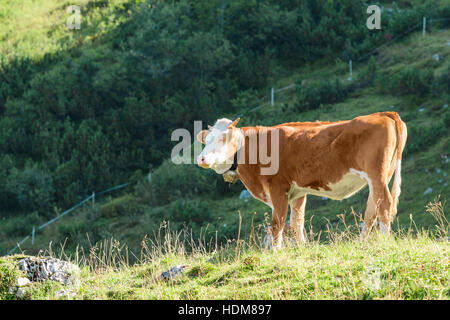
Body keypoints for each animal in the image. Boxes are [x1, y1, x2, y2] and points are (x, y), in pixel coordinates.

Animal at [197, 112, 408, 250]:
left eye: (223, 138)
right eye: (205, 141)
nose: (201, 158)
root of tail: (382, 114)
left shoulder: (277, 188)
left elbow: (278, 223)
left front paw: (276, 251)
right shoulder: (297, 192)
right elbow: (296, 221)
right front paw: (301, 248)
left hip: (376, 174)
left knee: (385, 204)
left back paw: (384, 240)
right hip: (382, 176)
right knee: (373, 208)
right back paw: (363, 241)